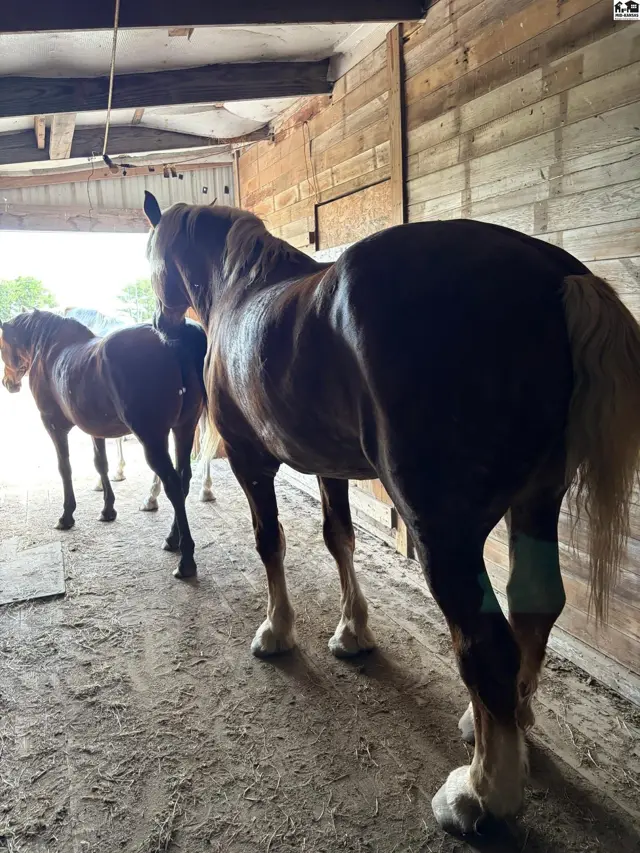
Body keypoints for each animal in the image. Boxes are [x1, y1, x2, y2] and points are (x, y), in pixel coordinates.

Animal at [143, 190, 640, 835]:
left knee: (486, 644)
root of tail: (552, 276)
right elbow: (339, 539)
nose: (159, 324)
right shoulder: (327, 464)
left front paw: (276, 632)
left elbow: (269, 541)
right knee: (535, 608)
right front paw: (352, 631)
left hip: (444, 533)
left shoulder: (251, 462)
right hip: (536, 501)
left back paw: (480, 794)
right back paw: (507, 723)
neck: (241, 290)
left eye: (152, 256)